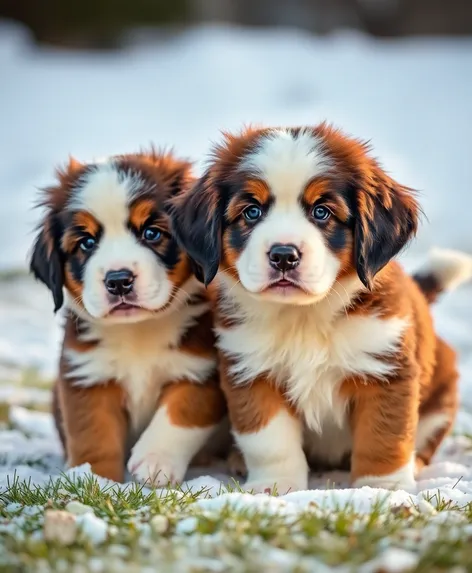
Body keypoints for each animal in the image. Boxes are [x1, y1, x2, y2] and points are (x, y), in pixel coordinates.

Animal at [30, 151, 229, 482]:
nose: (119, 280)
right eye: (86, 243)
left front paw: (155, 460)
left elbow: (179, 413)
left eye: (152, 232)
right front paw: (94, 478)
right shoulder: (87, 375)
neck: (138, 332)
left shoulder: (199, 371)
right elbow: (94, 434)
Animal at [169, 124, 468, 492]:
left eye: (321, 211)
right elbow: (269, 440)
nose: (284, 255)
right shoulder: (251, 371)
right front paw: (276, 486)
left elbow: (384, 436)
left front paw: (383, 488)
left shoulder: (385, 370)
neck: (304, 317)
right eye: (252, 211)